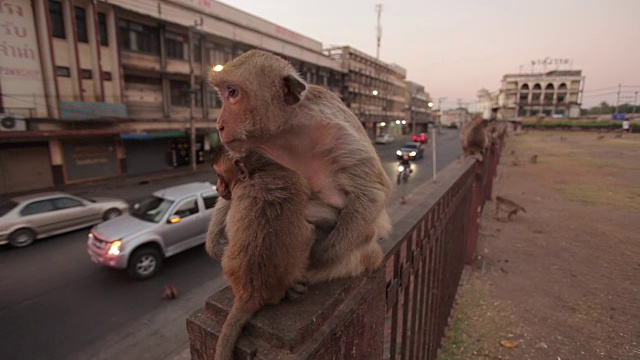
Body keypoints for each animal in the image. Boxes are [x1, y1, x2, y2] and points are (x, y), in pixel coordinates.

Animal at [208, 49, 392, 282]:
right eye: (222, 94)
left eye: (232, 92)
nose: (219, 125)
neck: (286, 131)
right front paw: (214, 242)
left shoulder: (335, 131)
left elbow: (372, 189)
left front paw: (321, 253)